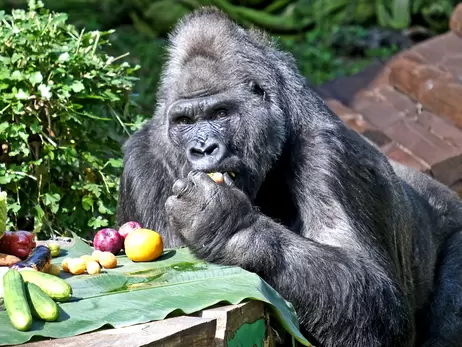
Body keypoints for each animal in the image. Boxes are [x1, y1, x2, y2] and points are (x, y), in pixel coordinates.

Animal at [117, 6, 462, 347]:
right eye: (184, 121)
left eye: (220, 113)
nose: (202, 149)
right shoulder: (141, 160)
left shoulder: (327, 152)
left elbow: (382, 304)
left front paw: (222, 222)